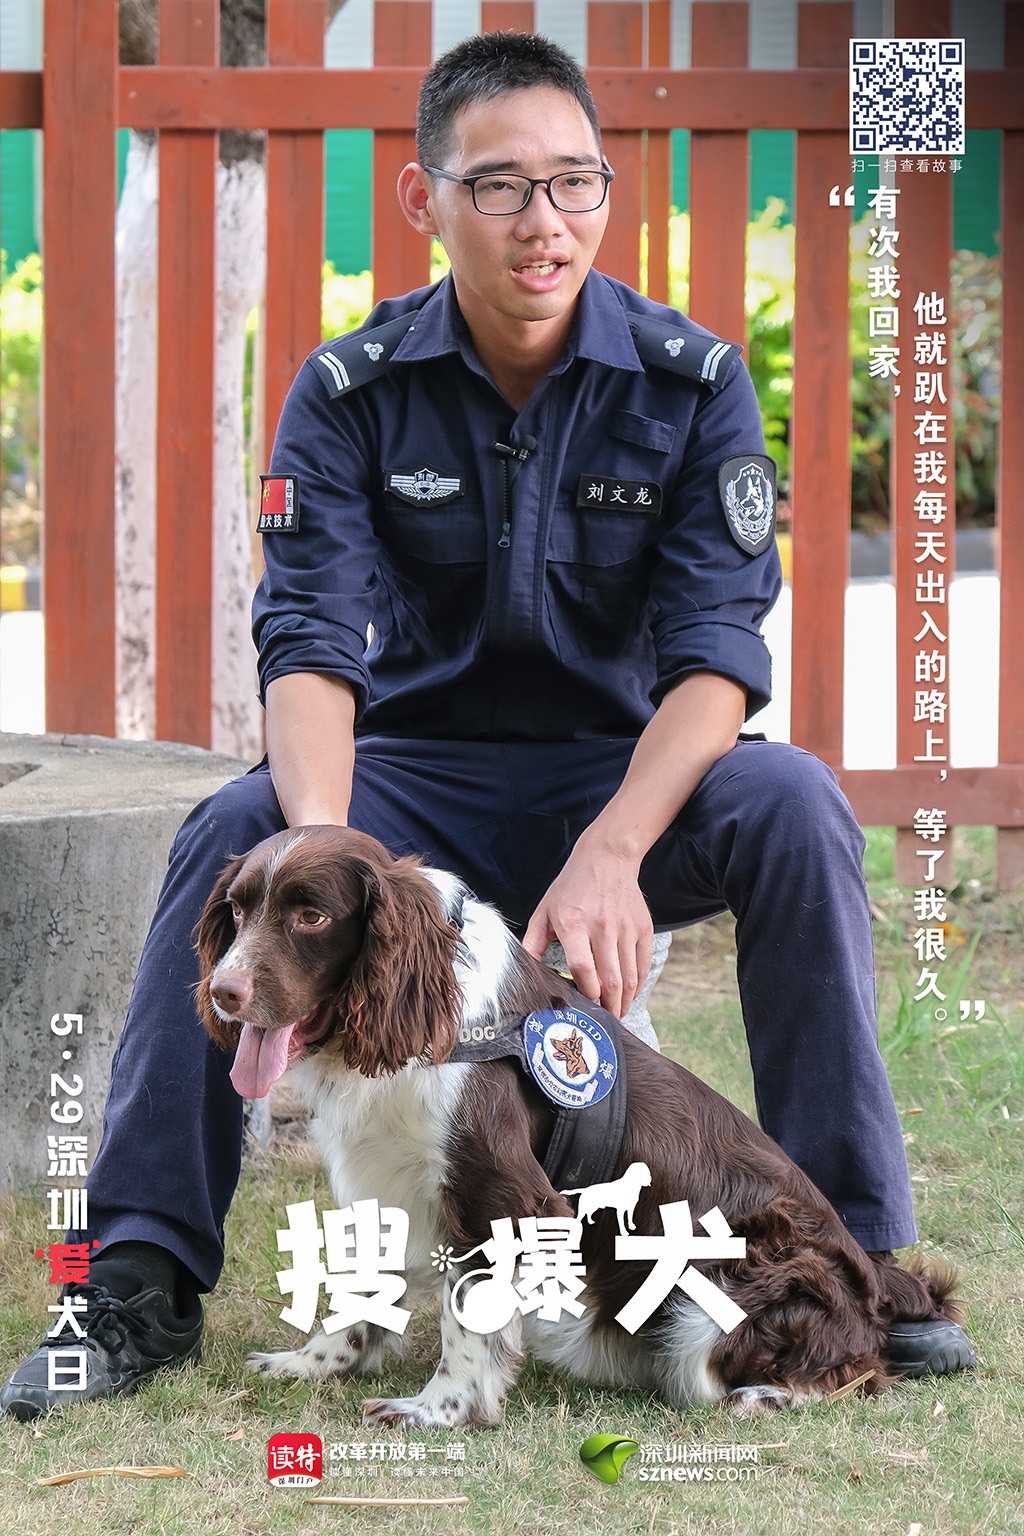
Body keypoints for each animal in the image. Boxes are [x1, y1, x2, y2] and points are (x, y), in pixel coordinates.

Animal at [197, 825, 961, 1427]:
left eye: (311, 917)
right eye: (236, 909)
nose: (222, 992)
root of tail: (874, 1281)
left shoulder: (499, 1193)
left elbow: (464, 1321)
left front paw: (438, 1411)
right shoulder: (390, 1177)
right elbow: (362, 1293)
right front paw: (312, 1362)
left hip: (726, 1286)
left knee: (846, 1368)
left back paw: (767, 1395)